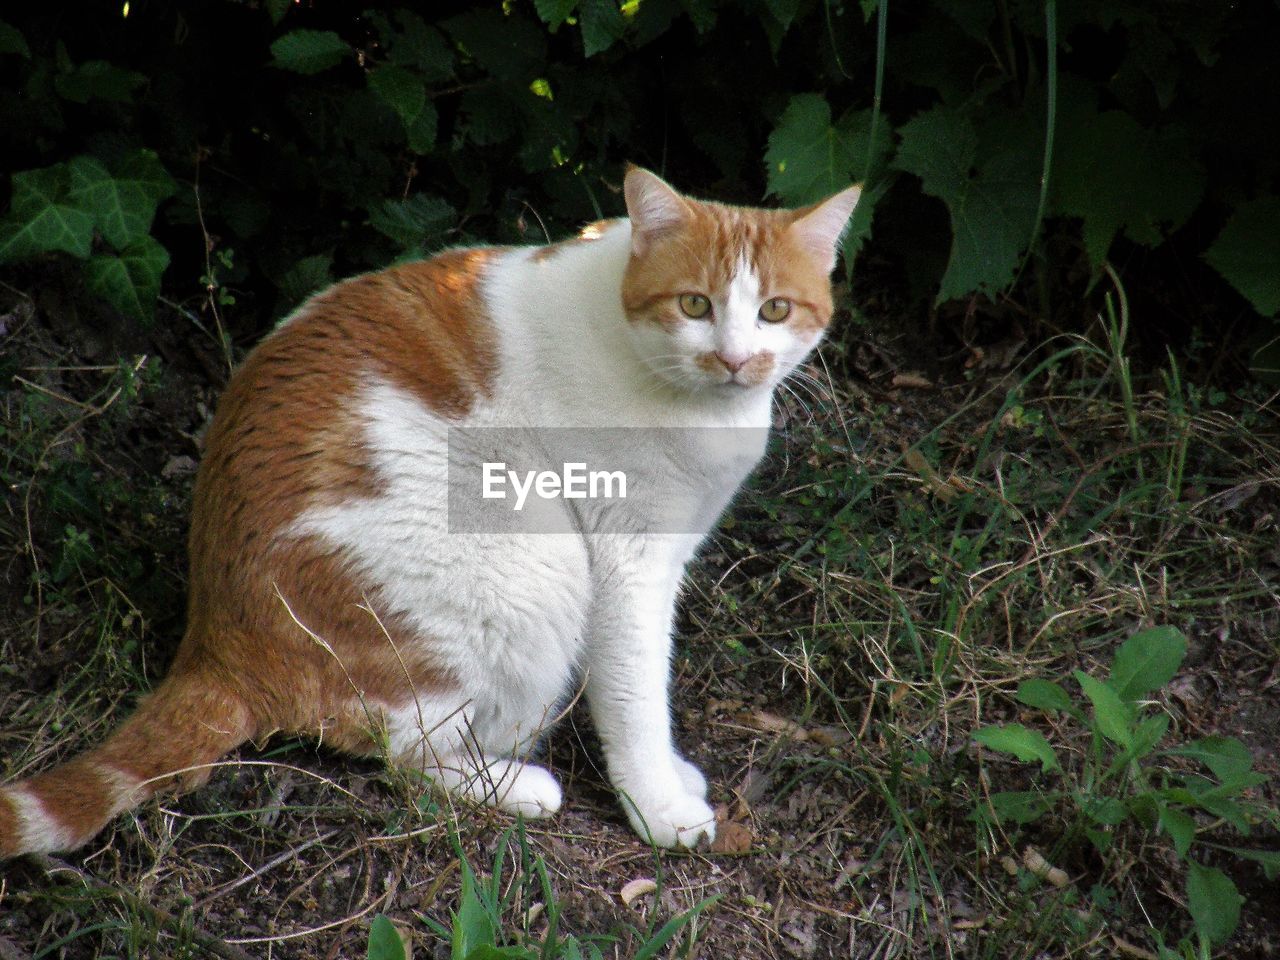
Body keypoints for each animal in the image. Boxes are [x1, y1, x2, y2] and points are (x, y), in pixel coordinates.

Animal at [0, 165, 865, 855]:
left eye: (775, 311)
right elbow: (635, 691)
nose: (734, 358)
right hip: (533, 569)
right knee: (404, 753)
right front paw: (659, 806)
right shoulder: (628, 562)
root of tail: (214, 638)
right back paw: (520, 786)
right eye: (694, 305)